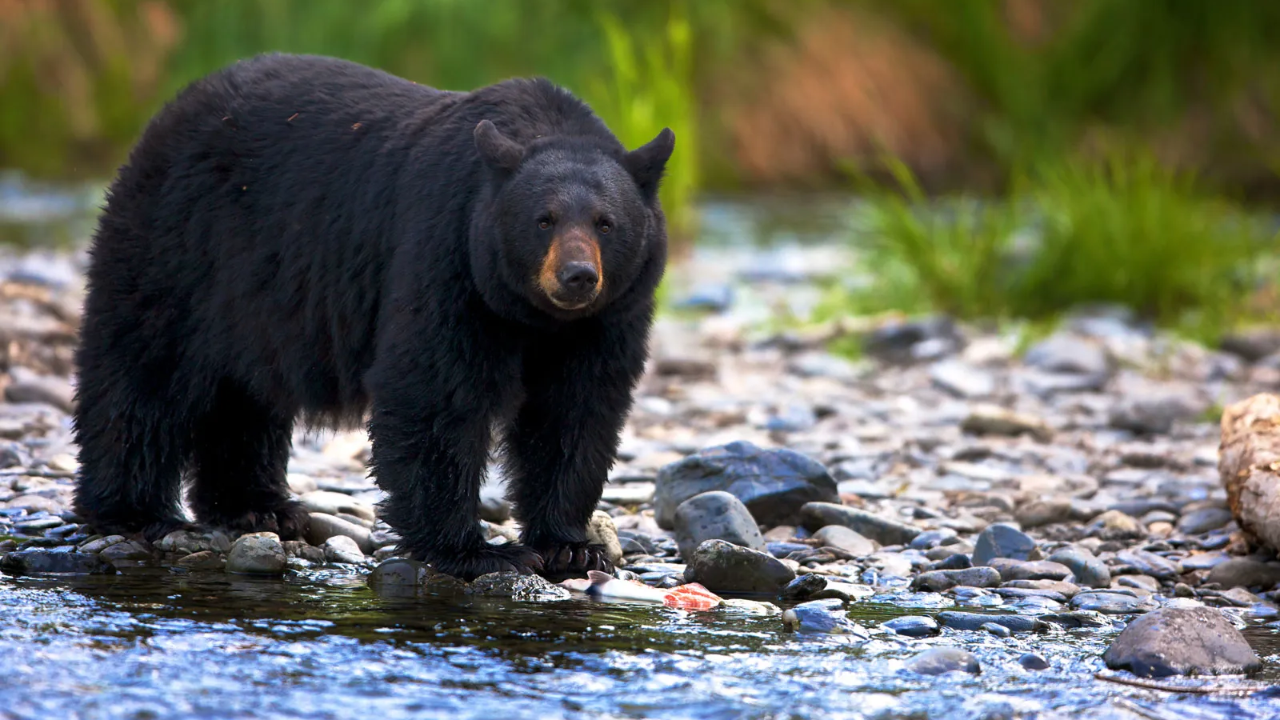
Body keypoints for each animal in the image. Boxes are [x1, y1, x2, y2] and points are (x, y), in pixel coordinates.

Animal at [72, 51, 670, 576]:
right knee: (144, 372)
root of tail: (173, 109)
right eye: (543, 219)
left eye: (606, 223)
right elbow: (436, 392)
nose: (577, 276)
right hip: (180, 244)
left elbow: (575, 411)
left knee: (244, 396)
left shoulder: (606, 318)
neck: (533, 316)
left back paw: (259, 506)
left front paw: (571, 546)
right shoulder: (446, 254)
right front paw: (475, 551)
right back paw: (132, 511)